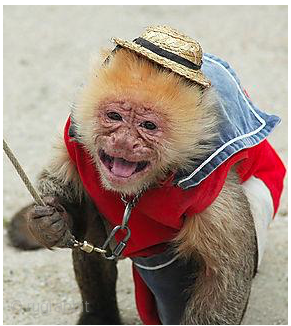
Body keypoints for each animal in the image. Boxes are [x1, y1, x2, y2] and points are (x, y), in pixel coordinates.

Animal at [8, 26, 286, 326]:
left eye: (148, 125)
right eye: (114, 116)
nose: (123, 141)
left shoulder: (212, 187)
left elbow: (224, 278)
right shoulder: (75, 139)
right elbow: (69, 202)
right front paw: (49, 224)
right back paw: (99, 314)